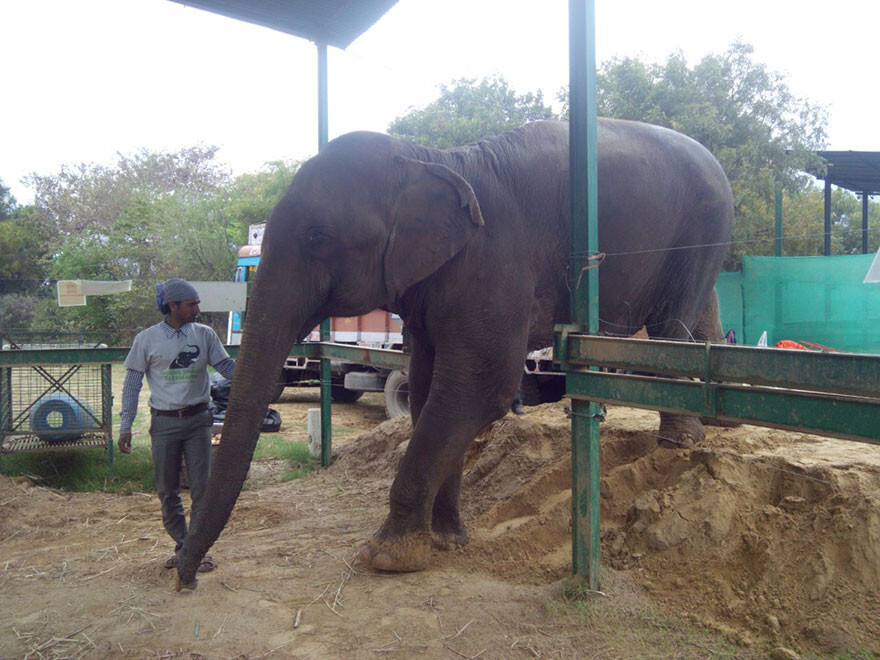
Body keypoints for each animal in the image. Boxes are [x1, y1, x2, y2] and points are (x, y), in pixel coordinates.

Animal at [175, 118, 732, 584]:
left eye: (316, 237)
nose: (187, 573)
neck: (431, 160)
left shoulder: (496, 263)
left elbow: (479, 386)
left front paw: (389, 556)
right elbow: (429, 388)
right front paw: (446, 540)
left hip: (700, 227)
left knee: (672, 324)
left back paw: (679, 442)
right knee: (703, 311)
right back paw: (710, 424)